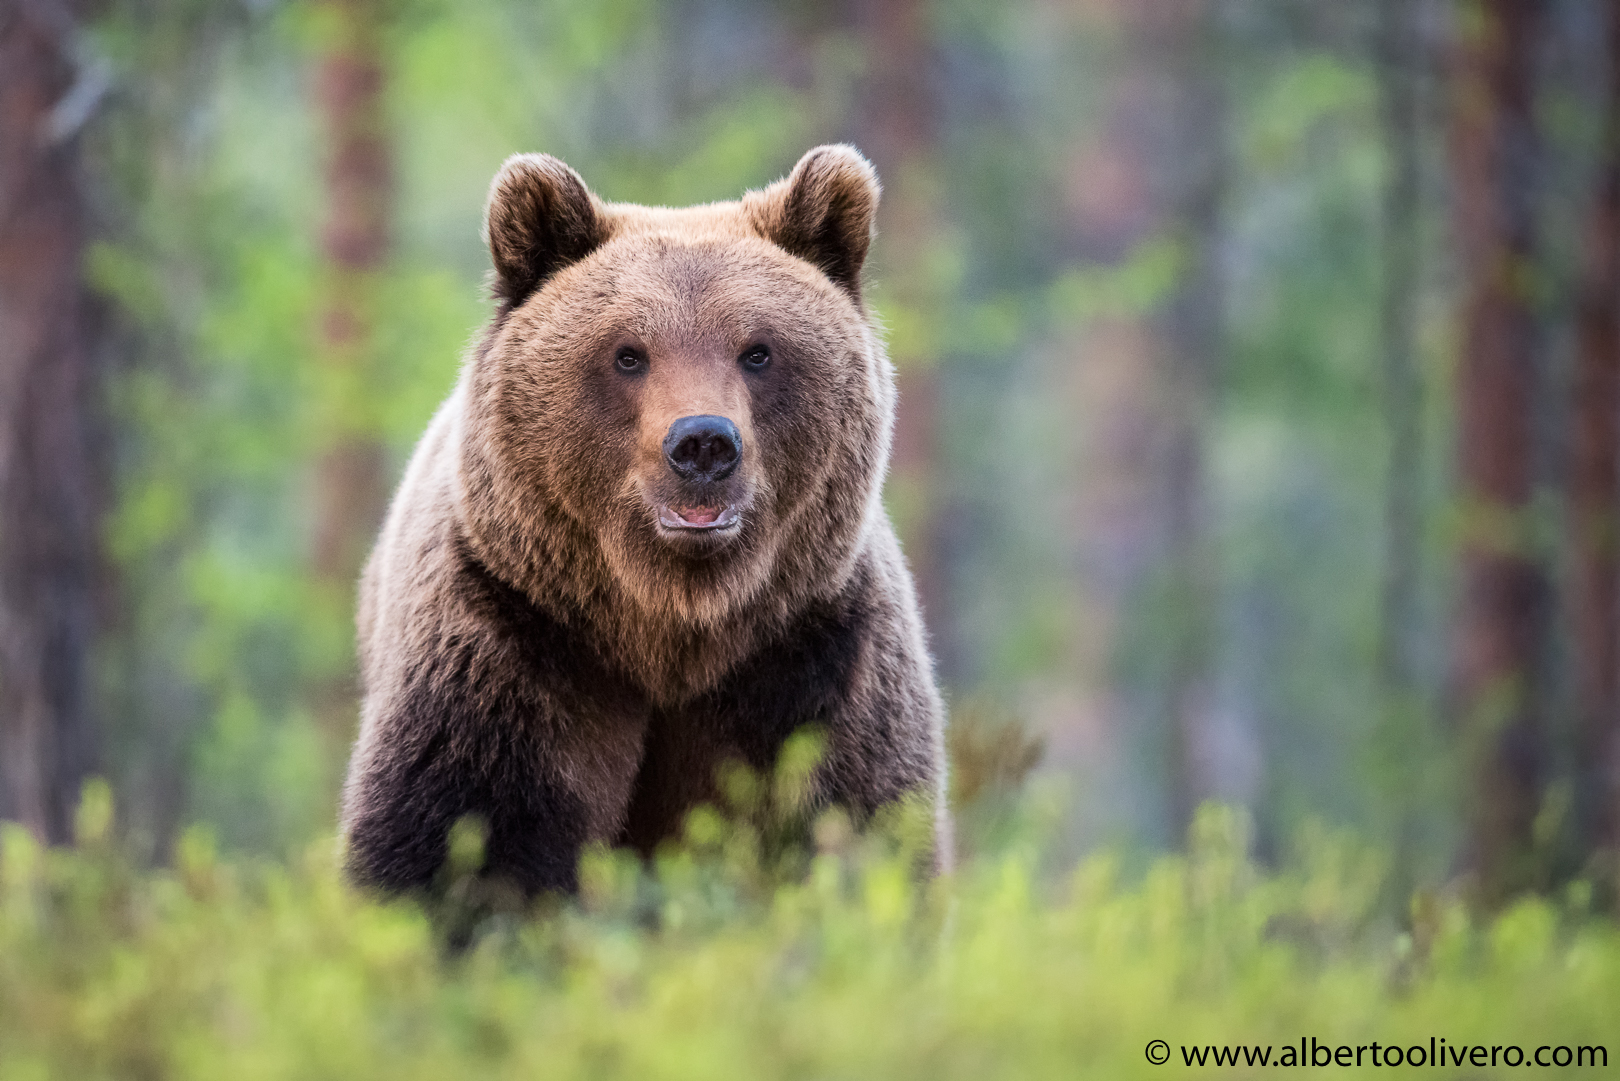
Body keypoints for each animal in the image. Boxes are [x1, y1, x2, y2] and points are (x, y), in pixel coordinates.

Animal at [340, 144, 949, 897]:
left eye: (758, 350)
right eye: (628, 353)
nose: (703, 443)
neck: (665, 628)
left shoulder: (814, 659)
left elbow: (852, 824)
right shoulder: (506, 637)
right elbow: (456, 839)